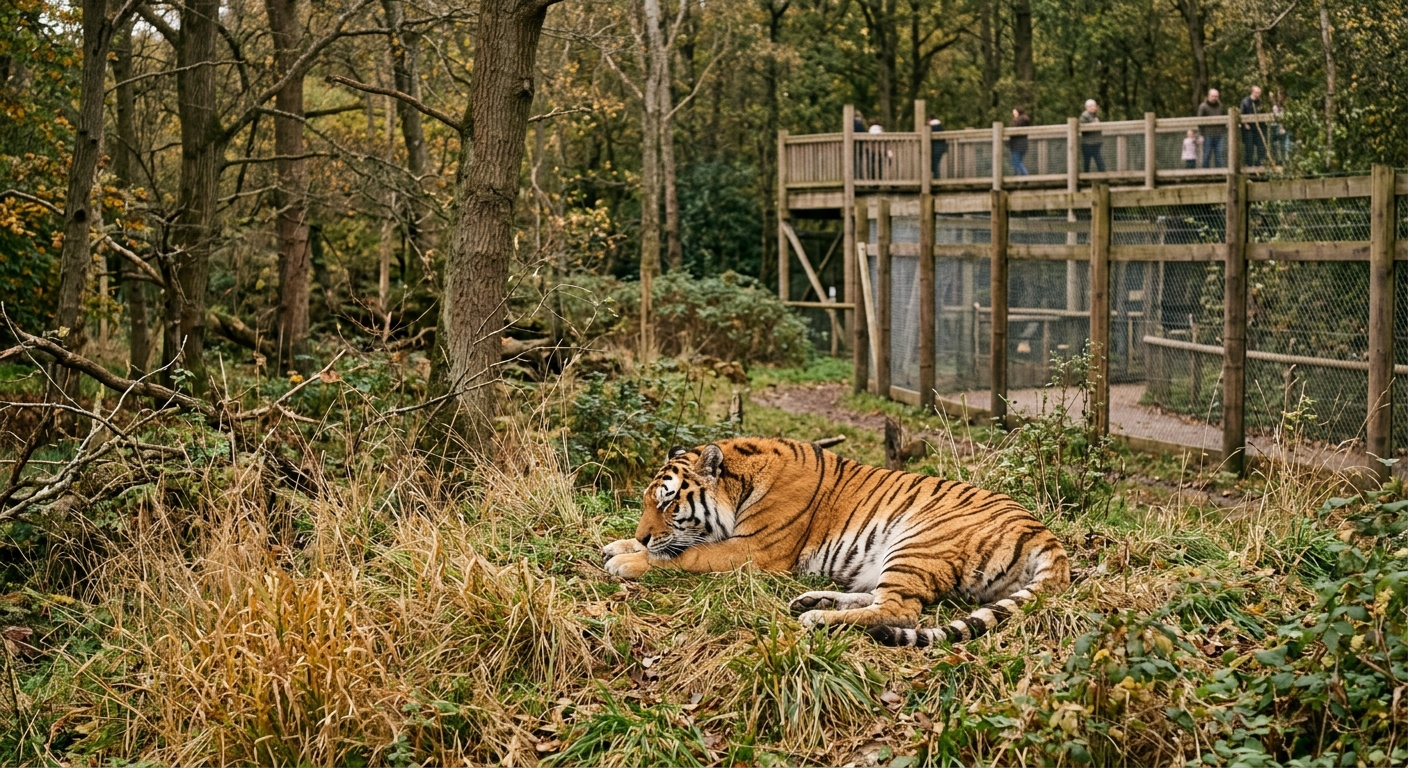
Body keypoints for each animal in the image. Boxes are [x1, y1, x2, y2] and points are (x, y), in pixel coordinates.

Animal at [601, 437, 1069, 647]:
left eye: (666, 502)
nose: (642, 533)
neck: (740, 483)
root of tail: (1042, 530)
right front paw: (620, 545)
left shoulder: (752, 549)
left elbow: (686, 555)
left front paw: (627, 562)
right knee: (878, 599)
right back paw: (813, 601)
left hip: (916, 540)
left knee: (900, 610)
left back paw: (817, 618)